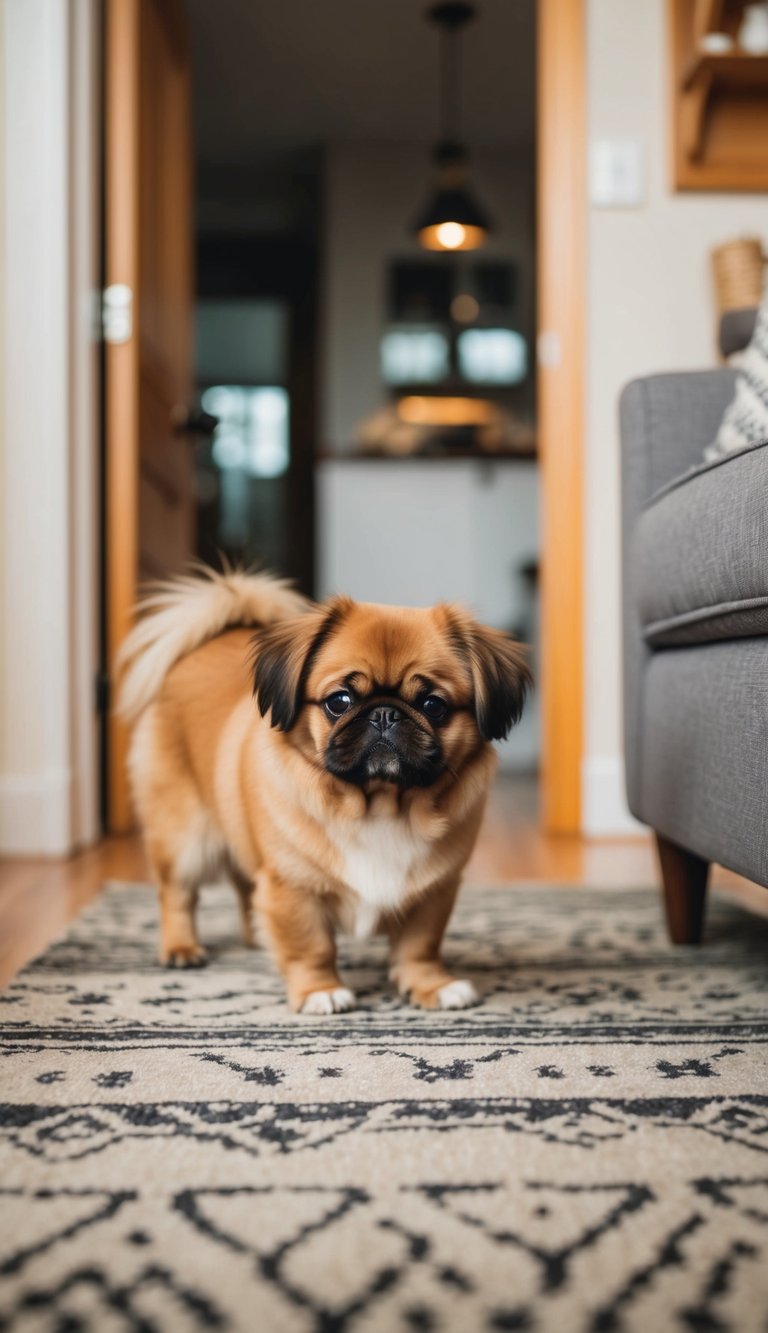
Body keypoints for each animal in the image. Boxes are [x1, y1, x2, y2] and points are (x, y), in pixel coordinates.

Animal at [118, 567, 531, 1014]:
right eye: (340, 701)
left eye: (433, 705)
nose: (384, 714)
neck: (379, 805)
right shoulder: (293, 888)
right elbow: (311, 946)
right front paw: (320, 990)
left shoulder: (434, 893)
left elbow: (418, 947)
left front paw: (432, 986)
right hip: (183, 839)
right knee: (177, 894)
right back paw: (182, 949)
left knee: (245, 888)